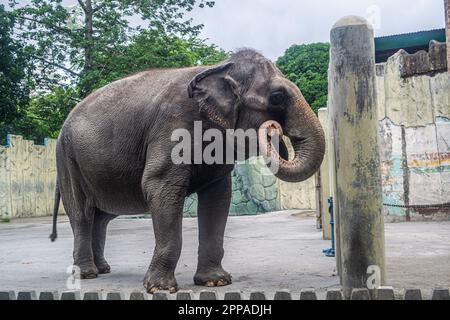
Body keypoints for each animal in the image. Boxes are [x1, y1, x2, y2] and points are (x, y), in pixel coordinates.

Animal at [50, 49, 324, 292]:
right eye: (277, 97)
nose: (273, 130)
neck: (218, 68)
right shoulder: (172, 127)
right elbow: (160, 187)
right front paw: (160, 288)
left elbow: (218, 198)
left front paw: (216, 282)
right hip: (67, 158)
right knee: (82, 212)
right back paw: (86, 274)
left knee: (102, 216)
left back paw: (103, 269)